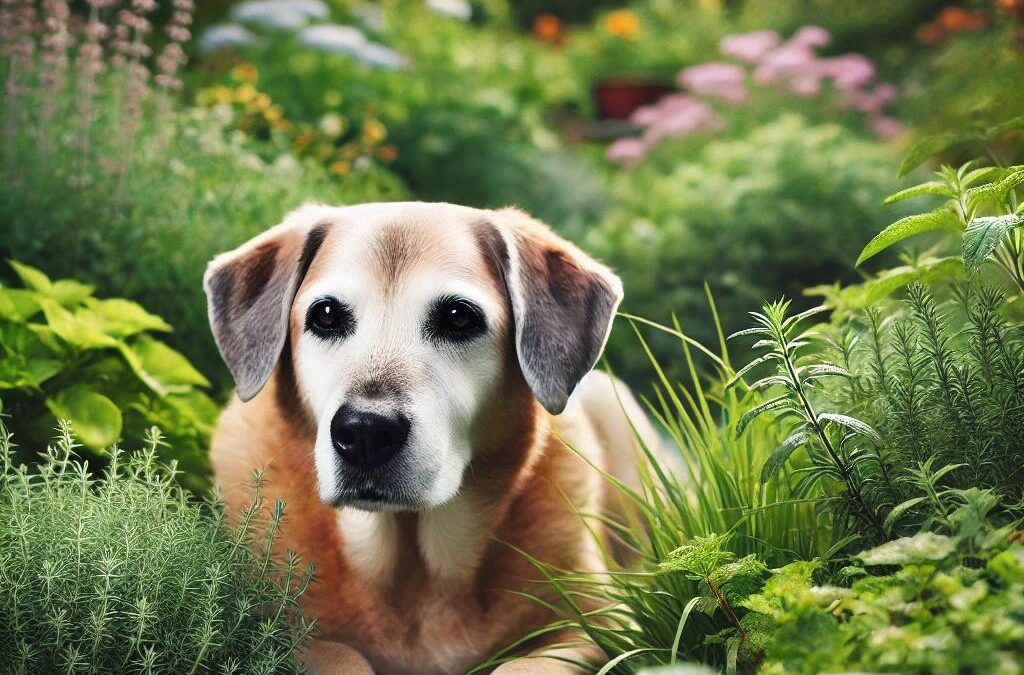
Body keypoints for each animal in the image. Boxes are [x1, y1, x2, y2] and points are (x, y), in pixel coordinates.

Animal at [205, 201, 655, 675]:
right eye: (325, 315)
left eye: (458, 317)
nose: (365, 431)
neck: (414, 572)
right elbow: (338, 653)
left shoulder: (605, 621)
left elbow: (521, 665)